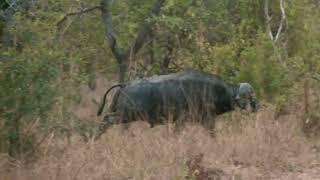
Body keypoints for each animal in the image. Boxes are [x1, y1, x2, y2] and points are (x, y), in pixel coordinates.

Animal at [96, 69, 258, 136]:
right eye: (248, 96)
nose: (256, 107)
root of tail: (126, 84)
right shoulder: (187, 120)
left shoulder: (203, 120)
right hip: (127, 115)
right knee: (106, 120)